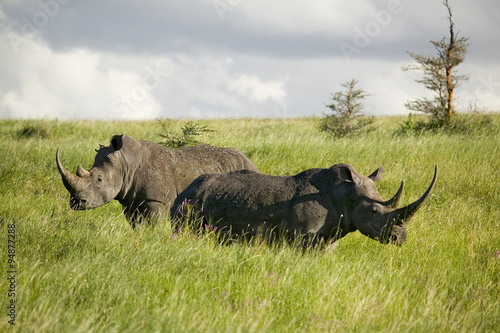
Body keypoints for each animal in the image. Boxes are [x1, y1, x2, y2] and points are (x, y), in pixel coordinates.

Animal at [56, 134, 260, 227]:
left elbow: (152, 225)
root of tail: (251, 162)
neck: (126, 163)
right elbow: (136, 225)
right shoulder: (130, 201)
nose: (76, 202)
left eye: (99, 179)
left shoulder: (156, 201)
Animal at [172, 162, 438, 245]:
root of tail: (184, 188)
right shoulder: (301, 236)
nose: (400, 238)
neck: (343, 193)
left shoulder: (328, 236)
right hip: (187, 205)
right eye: (374, 210)